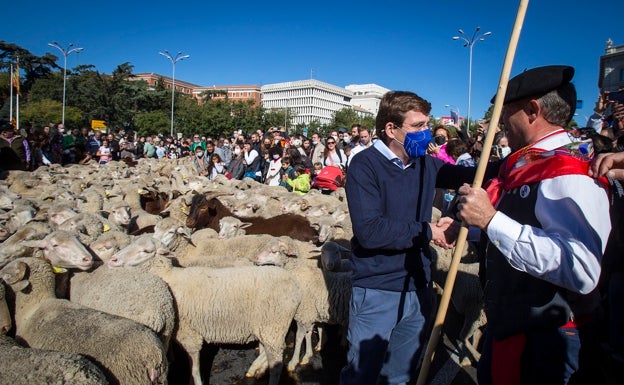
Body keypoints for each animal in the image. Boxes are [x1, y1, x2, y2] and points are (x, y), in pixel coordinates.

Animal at [107, 234, 302, 384]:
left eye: (146, 251)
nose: (113, 260)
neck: (169, 278)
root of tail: (293, 282)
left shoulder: (188, 333)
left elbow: (194, 366)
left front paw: (195, 381)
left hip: (273, 325)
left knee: (276, 358)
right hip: (266, 326)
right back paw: (256, 368)